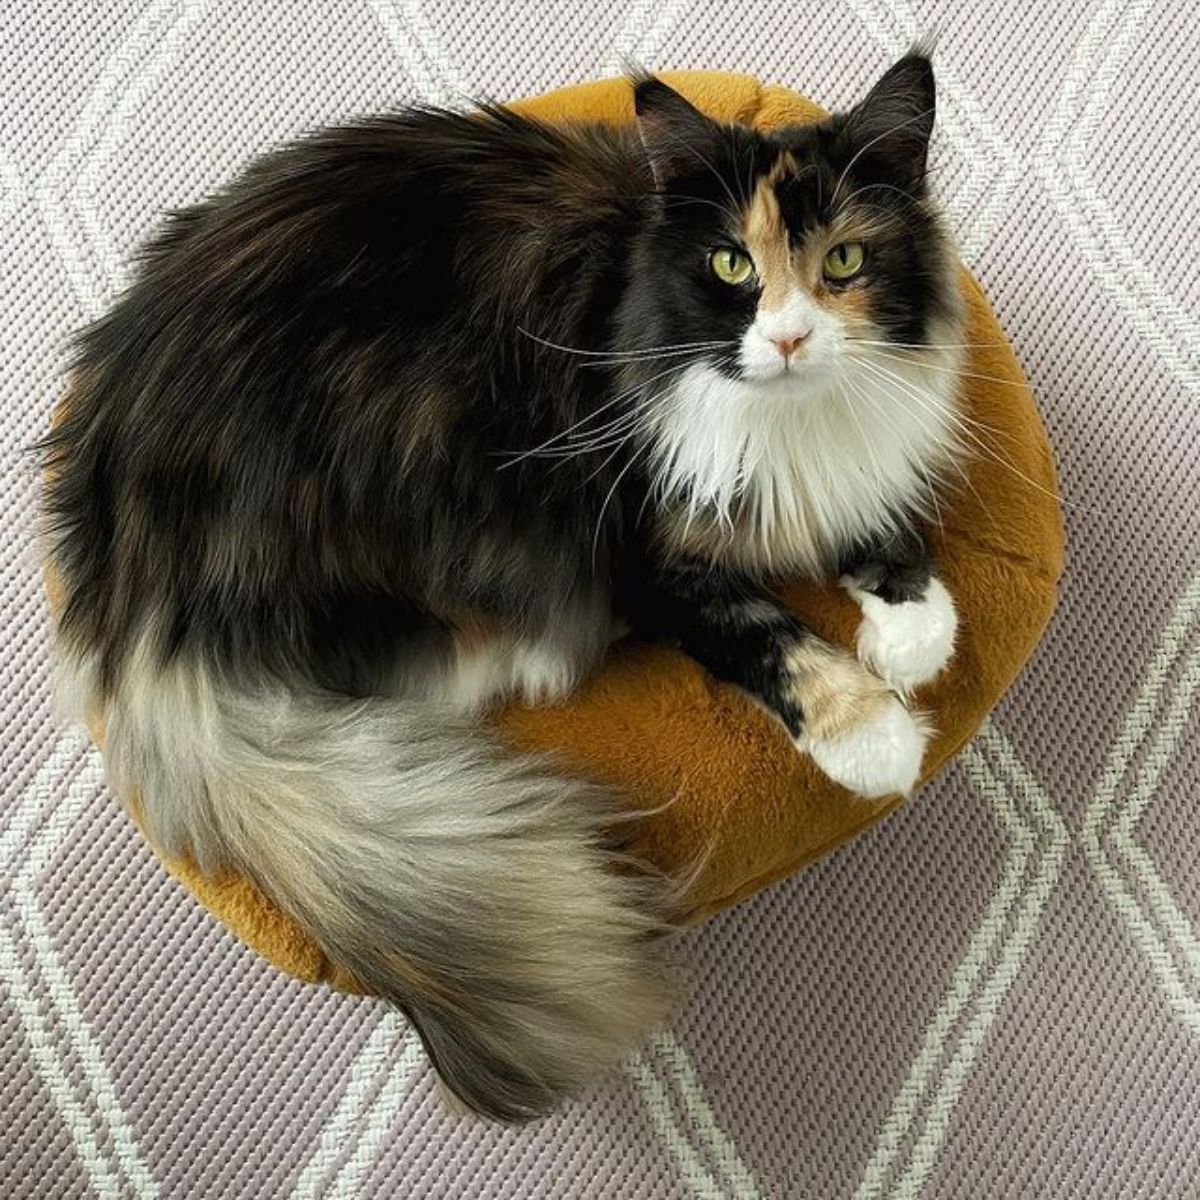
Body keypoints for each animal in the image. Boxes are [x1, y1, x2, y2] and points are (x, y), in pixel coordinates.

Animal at [42, 51, 964, 1118]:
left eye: (844, 263)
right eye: (730, 266)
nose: (786, 341)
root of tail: (122, 587)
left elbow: (884, 533)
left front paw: (912, 630)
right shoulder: (646, 544)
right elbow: (765, 634)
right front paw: (877, 734)